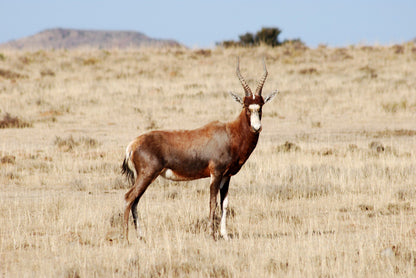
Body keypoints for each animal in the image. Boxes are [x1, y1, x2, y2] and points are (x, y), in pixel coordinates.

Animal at [120, 57, 278, 240]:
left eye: (261, 105)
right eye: (245, 106)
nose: (256, 127)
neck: (229, 133)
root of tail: (132, 145)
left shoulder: (227, 176)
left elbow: (224, 204)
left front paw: (225, 235)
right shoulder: (216, 173)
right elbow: (212, 202)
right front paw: (212, 234)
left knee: (135, 201)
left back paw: (141, 236)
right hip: (147, 175)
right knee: (129, 197)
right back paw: (126, 238)